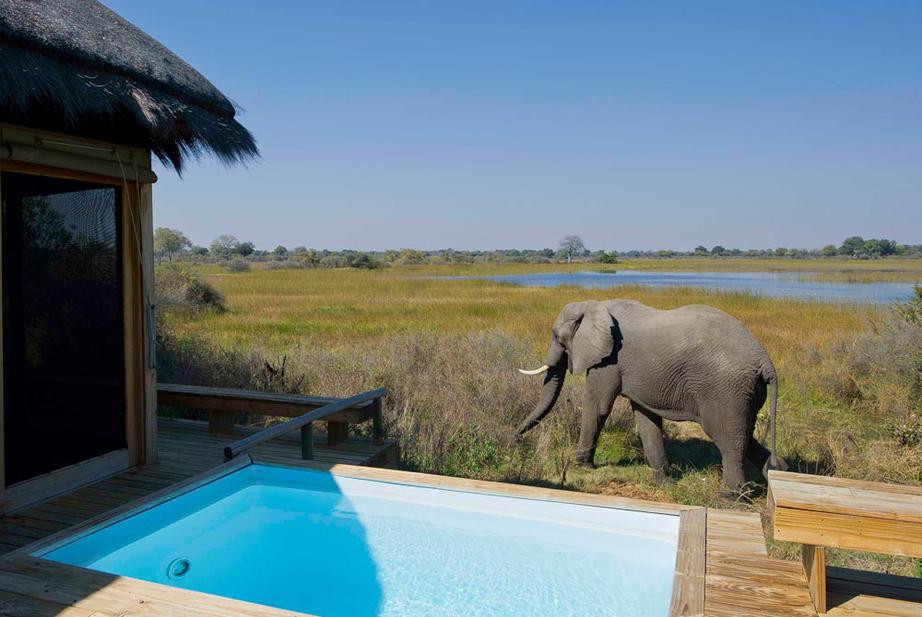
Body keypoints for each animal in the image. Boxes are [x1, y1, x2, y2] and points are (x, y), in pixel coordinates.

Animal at [516, 298, 784, 490]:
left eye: (557, 337)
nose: (516, 437)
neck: (594, 305)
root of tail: (765, 361)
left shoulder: (609, 361)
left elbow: (597, 406)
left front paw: (582, 466)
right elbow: (645, 417)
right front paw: (663, 480)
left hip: (725, 390)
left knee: (727, 438)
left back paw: (731, 496)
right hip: (743, 393)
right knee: (743, 433)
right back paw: (776, 472)